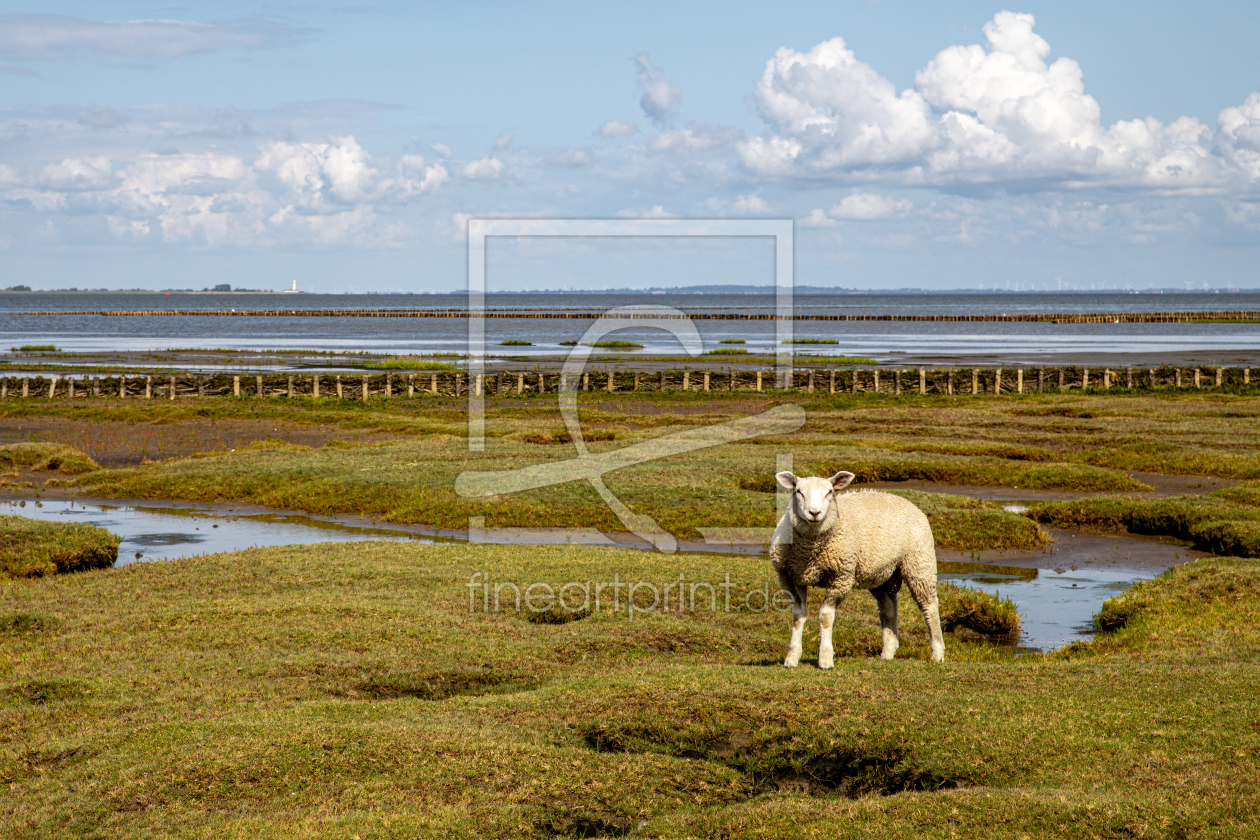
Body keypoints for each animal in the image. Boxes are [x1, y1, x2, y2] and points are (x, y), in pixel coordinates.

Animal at [766, 471, 947, 664]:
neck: (808, 552)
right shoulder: (790, 578)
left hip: (920, 562)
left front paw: (825, 658)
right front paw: (792, 658)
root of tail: (906, 501)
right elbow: (798, 616)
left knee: (929, 607)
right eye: (798, 491)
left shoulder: (841, 577)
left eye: (829, 492)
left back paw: (937, 653)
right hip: (882, 574)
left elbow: (826, 616)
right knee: (888, 608)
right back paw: (888, 651)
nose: (814, 513)